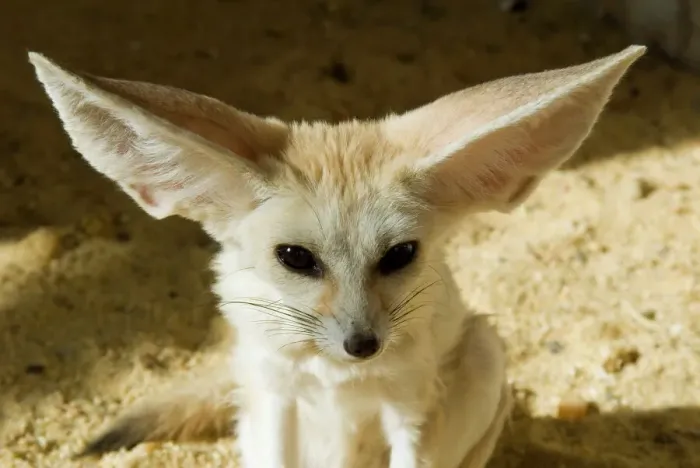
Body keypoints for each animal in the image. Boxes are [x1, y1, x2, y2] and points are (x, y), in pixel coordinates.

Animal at [29, 45, 645, 468]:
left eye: (400, 255)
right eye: (295, 258)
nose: (362, 345)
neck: (335, 375)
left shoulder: (411, 410)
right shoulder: (276, 397)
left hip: (486, 351)